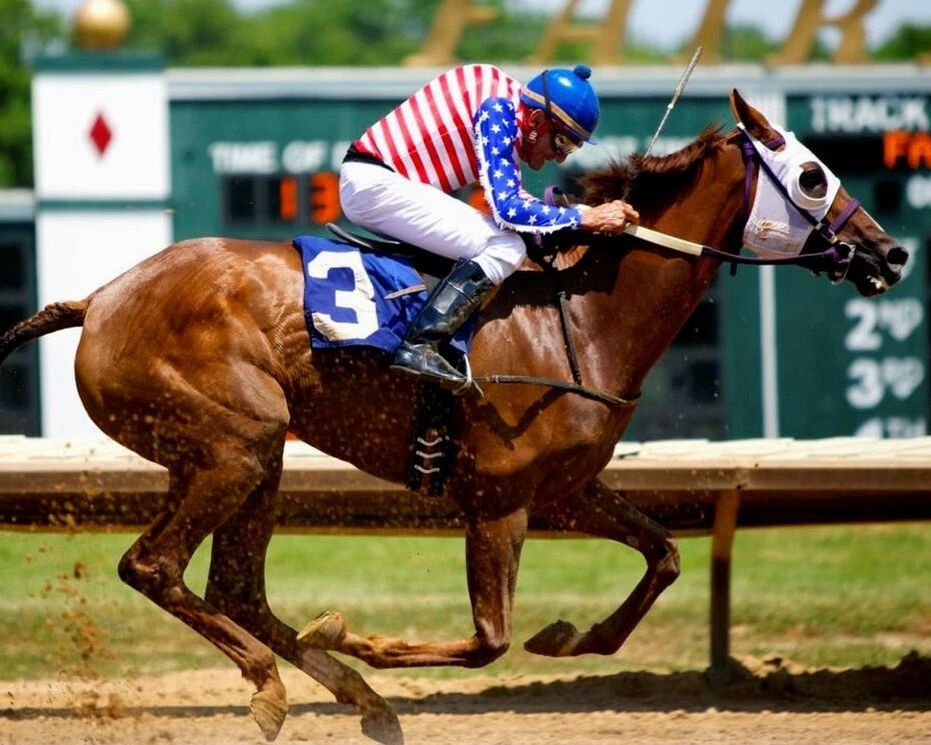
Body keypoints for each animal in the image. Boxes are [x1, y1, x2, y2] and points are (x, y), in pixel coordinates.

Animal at [0, 91, 907, 744]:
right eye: (813, 175)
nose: (890, 252)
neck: (581, 316)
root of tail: (101, 297)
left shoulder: (566, 489)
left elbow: (664, 558)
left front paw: (566, 637)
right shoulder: (497, 497)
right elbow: (486, 638)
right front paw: (362, 639)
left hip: (248, 457)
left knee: (235, 586)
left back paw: (354, 694)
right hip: (236, 443)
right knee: (153, 565)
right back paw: (276, 683)